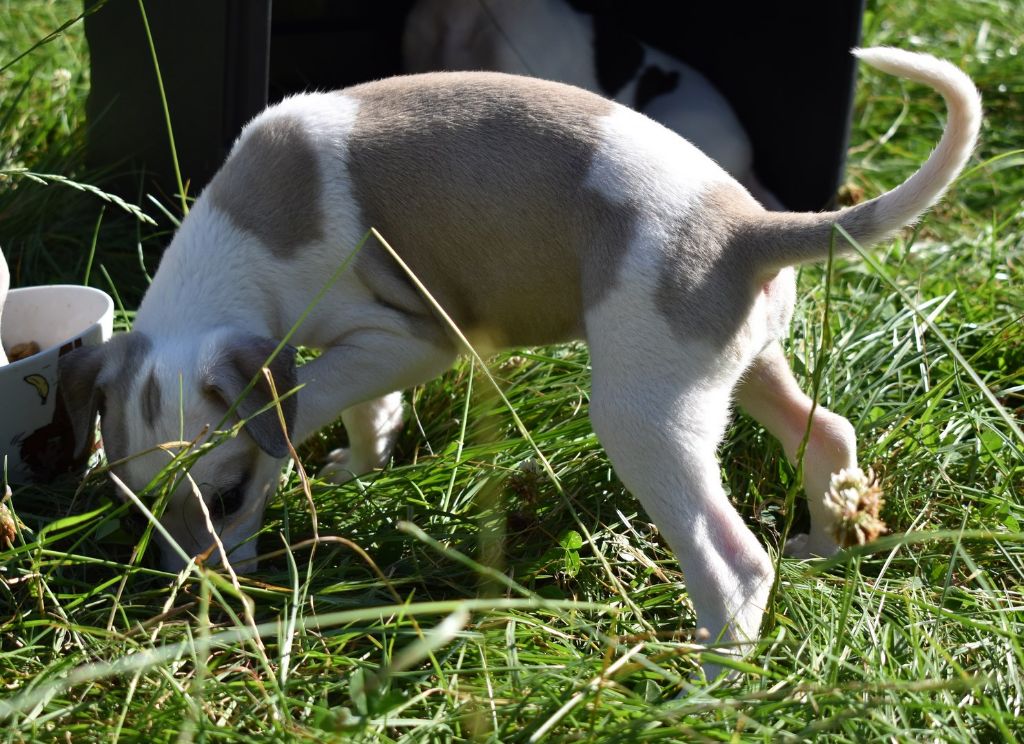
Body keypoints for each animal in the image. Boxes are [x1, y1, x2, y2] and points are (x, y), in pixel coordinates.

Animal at [59, 47, 980, 670]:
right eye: (138, 509)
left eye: (230, 496)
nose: (203, 603)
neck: (243, 242)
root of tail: (750, 230)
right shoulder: (370, 353)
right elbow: (365, 408)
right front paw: (363, 464)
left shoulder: (407, 337)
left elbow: (309, 394)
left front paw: (310, 448)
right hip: (742, 367)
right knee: (825, 432)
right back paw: (827, 544)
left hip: (646, 417)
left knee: (735, 562)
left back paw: (708, 680)